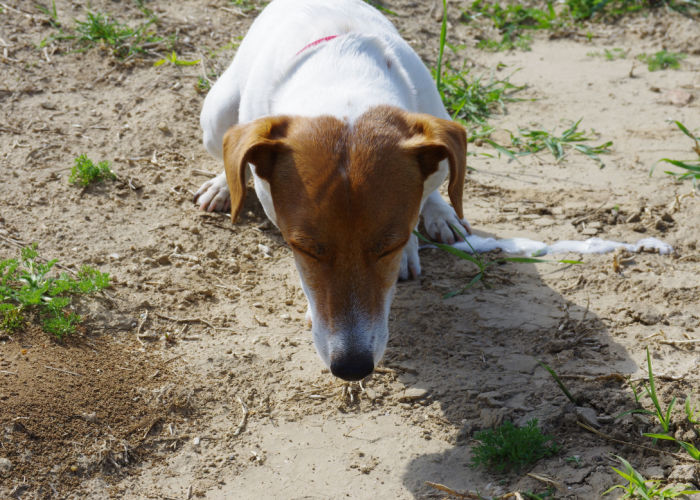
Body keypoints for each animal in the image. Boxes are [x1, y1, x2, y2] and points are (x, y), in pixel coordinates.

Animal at [196, 0, 470, 378]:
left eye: (389, 246)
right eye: (305, 249)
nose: (352, 368)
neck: (344, 81)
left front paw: (415, 240)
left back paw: (441, 213)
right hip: (216, 117)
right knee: (229, 150)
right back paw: (223, 186)